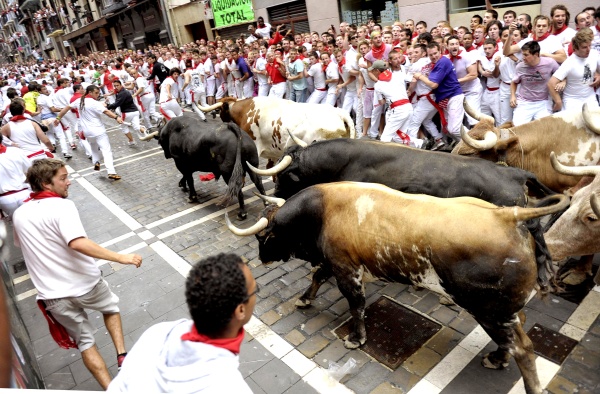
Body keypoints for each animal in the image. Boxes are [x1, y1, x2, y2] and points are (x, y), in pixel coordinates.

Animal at [250, 139, 556, 290]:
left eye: (283, 177)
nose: (277, 196)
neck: (345, 162)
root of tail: (513, 172)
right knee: (540, 232)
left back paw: (544, 274)